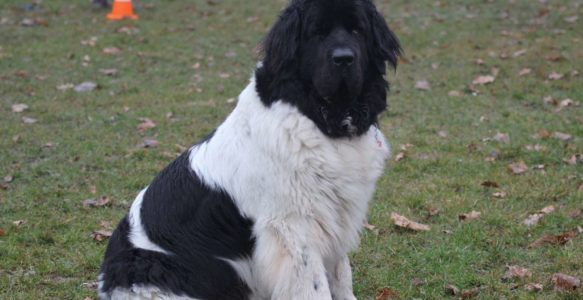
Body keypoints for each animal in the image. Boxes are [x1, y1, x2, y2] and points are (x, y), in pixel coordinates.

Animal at [100, 0, 402, 298]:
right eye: (317, 33)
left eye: (357, 30)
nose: (343, 58)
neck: (319, 119)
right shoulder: (293, 228)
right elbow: (314, 286)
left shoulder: (337, 215)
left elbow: (341, 275)